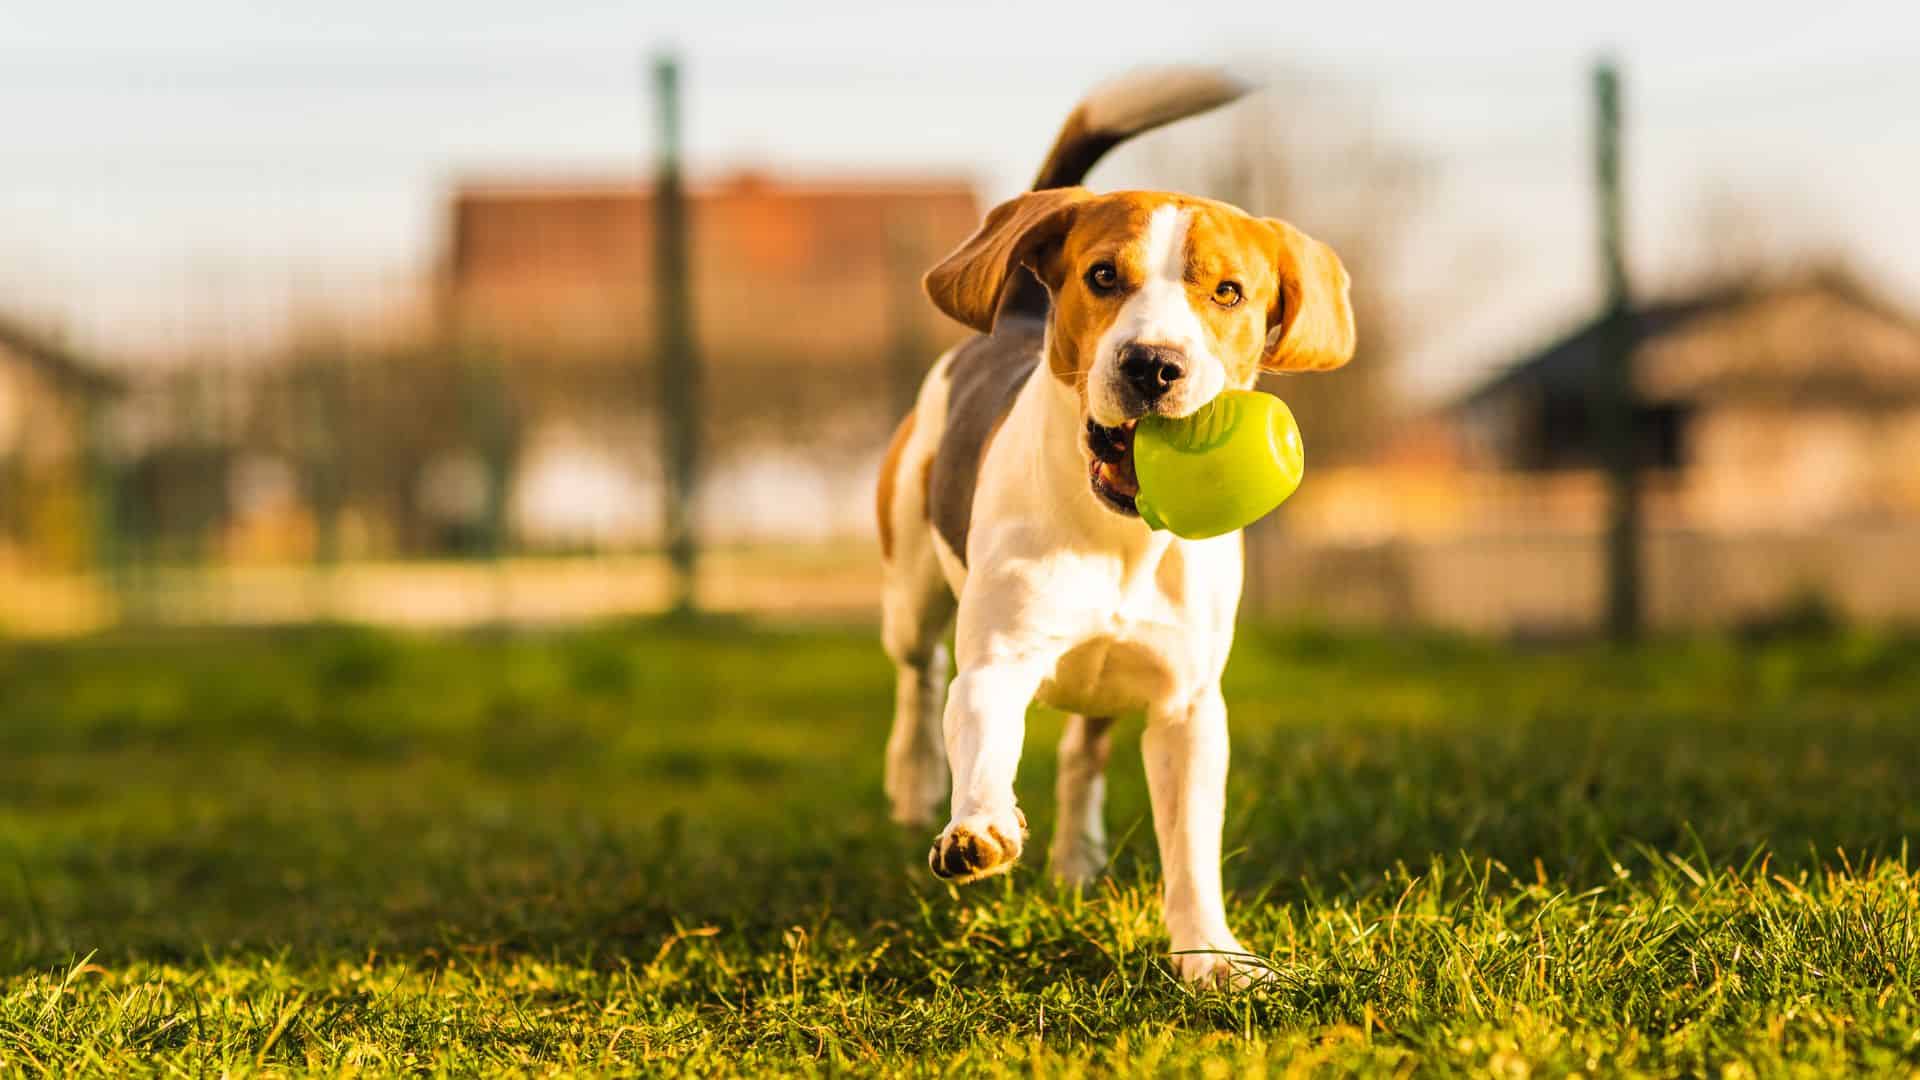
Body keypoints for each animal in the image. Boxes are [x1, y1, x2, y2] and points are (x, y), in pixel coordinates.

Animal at [879, 67, 1359, 983]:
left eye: (1228, 291)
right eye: (1103, 276)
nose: (1152, 365)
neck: (1125, 536)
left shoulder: (1187, 705)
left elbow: (1191, 849)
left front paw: (1212, 957)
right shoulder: (998, 660)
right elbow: (981, 733)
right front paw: (979, 828)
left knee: (1080, 759)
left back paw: (1075, 860)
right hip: (911, 581)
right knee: (919, 678)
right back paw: (915, 781)